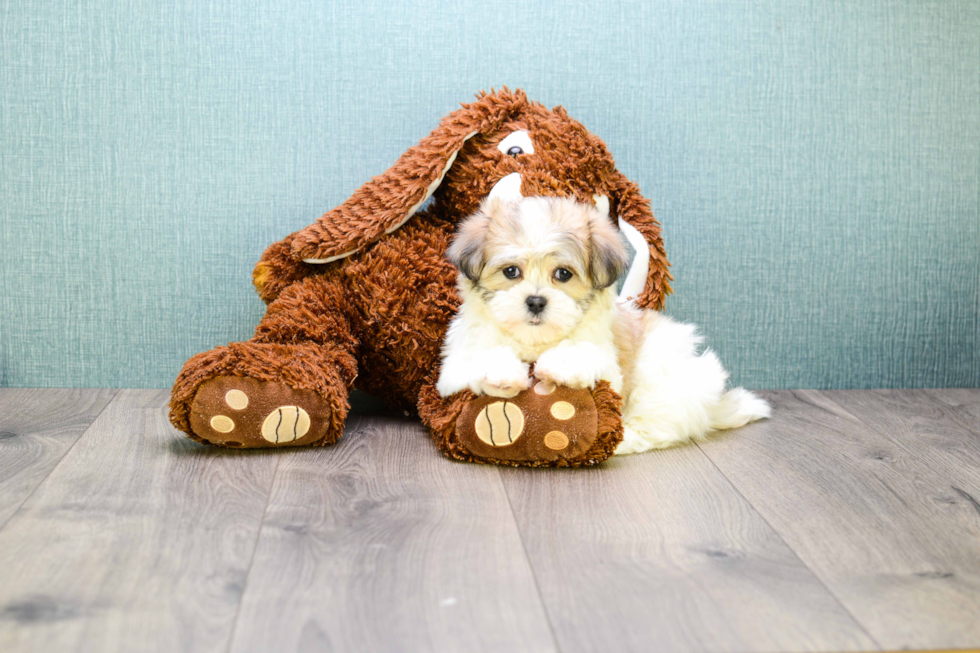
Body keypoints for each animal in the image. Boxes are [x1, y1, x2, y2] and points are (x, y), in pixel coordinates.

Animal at [438, 195, 772, 454]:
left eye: (563, 274)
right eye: (510, 271)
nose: (535, 301)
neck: (535, 342)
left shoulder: (607, 361)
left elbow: (583, 353)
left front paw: (559, 363)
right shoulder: (456, 359)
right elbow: (477, 357)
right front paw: (502, 373)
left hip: (660, 376)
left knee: (659, 424)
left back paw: (624, 441)